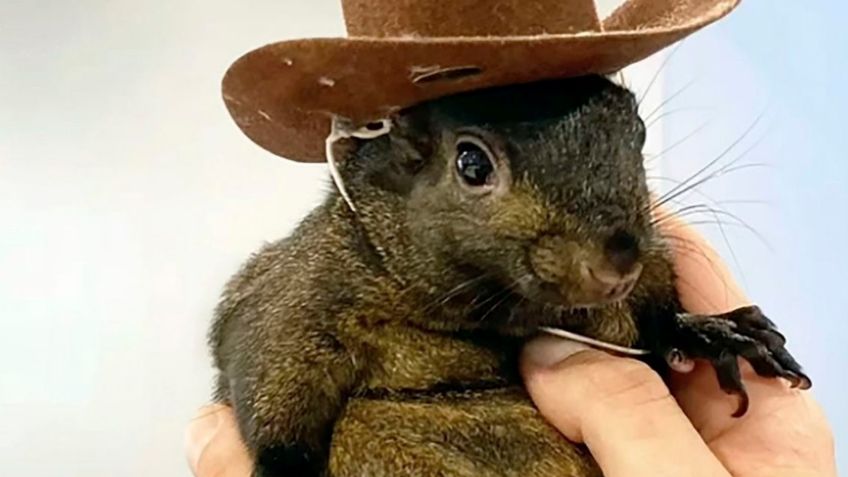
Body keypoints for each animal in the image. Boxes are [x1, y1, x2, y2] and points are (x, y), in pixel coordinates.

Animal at [209, 75, 810, 477]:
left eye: (637, 131)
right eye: (471, 164)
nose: (618, 261)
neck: (493, 312)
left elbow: (656, 319)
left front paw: (713, 333)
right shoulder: (293, 304)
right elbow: (273, 406)